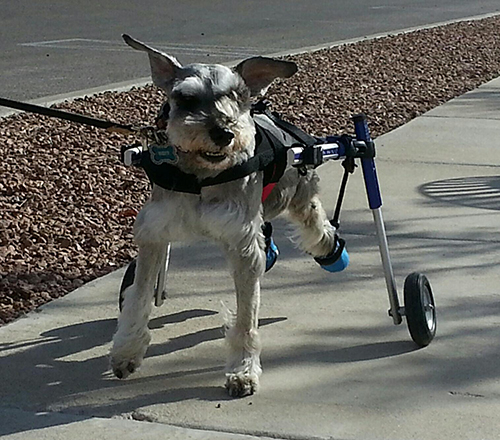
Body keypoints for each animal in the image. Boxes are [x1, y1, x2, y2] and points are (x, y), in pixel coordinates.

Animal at [109, 36, 336, 398]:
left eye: (237, 96)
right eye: (185, 98)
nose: (223, 132)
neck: (201, 175)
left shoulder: (242, 242)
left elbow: (246, 317)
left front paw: (243, 371)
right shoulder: (155, 233)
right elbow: (138, 295)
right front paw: (126, 352)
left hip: (296, 195)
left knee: (316, 223)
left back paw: (330, 250)